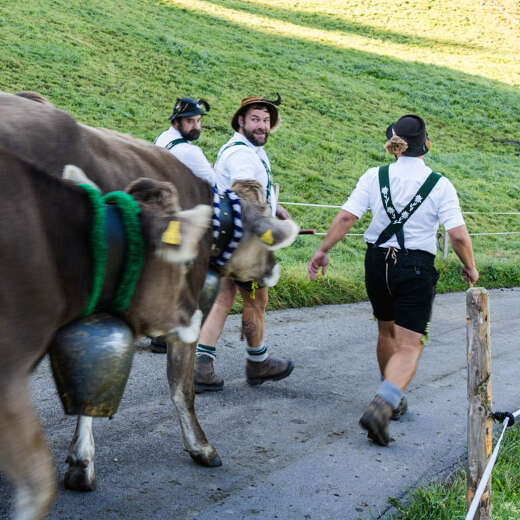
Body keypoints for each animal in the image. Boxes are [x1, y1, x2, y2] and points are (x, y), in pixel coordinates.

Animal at [0, 93, 298, 504]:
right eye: (265, 231)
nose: (274, 269)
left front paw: (79, 461)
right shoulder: (180, 311)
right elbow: (180, 386)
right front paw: (201, 447)